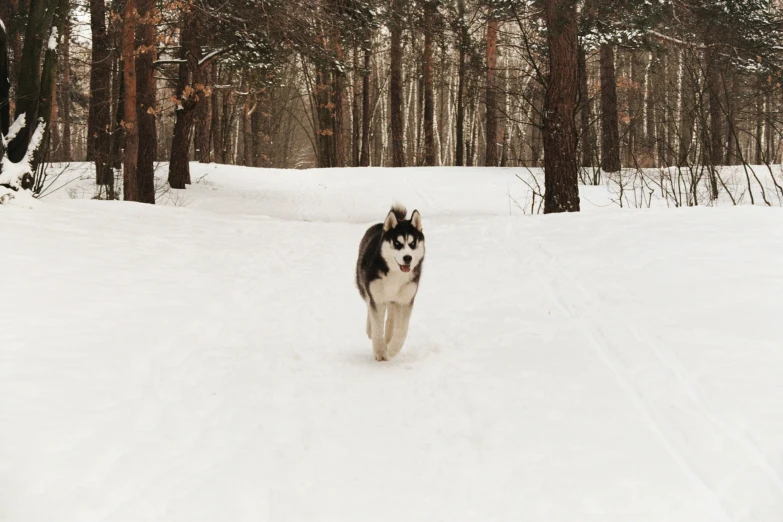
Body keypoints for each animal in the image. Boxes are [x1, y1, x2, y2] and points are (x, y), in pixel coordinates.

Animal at [356, 205, 426, 360]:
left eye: (412, 244)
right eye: (397, 244)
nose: (407, 258)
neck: (395, 274)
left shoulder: (406, 299)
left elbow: (402, 330)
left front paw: (393, 349)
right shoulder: (376, 298)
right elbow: (377, 326)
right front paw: (380, 352)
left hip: (396, 298)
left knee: (392, 313)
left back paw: (388, 335)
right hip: (364, 286)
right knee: (369, 305)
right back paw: (371, 330)